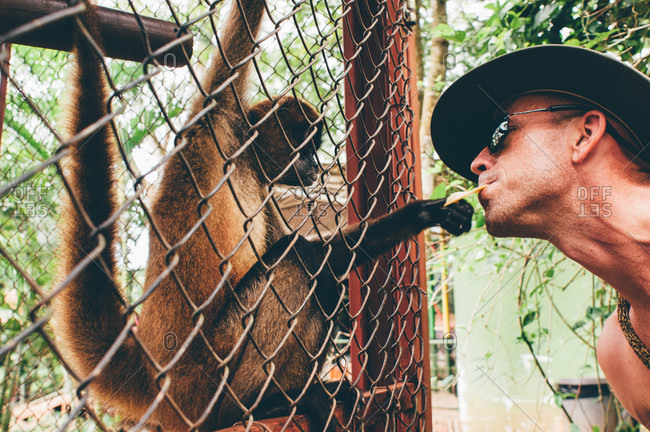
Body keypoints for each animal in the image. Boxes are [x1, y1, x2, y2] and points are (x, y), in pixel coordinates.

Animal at [52, 0, 474, 431]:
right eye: (307, 146)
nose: (315, 166)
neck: (241, 154)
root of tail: (156, 371)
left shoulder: (261, 178)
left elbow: (324, 253)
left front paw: (428, 212)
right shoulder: (214, 116)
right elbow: (238, 36)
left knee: (314, 271)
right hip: (208, 372)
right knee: (294, 259)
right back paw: (257, 406)